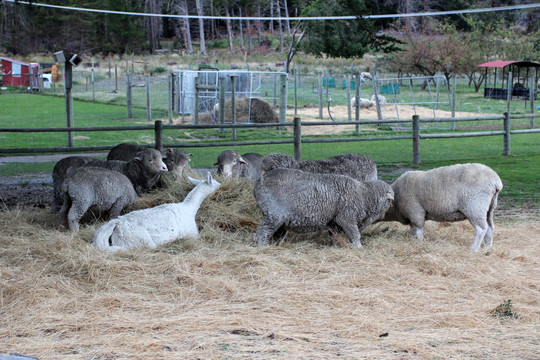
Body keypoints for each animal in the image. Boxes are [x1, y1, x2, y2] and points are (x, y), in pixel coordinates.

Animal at [93, 172, 221, 250]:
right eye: (216, 182)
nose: (221, 184)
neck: (189, 209)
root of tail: (116, 223)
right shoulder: (192, 234)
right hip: (139, 240)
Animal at [253, 168, 392, 248]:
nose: (385, 215)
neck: (363, 195)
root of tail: (258, 184)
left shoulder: (335, 222)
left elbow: (336, 235)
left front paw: (335, 246)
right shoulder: (346, 217)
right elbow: (355, 234)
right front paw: (358, 247)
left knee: (276, 233)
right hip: (273, 214)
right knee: (261, 234)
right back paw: (263, 247)